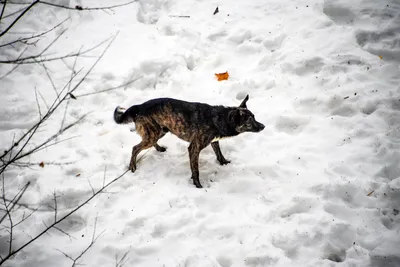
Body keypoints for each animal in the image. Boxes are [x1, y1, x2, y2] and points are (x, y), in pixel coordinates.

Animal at [114, 95, 264, 189]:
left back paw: (159, 149)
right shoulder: (194, 148)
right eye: (250, 121)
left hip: (160, 131)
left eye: (254, 117)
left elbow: (219, 153)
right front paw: (198, 185)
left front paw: (224, 163)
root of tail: (138, 107)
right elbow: (195, 169)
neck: (219, 118)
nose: (263, 126)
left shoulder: (214, 141)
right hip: (152, 134)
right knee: (135, 148)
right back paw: (132, 166)